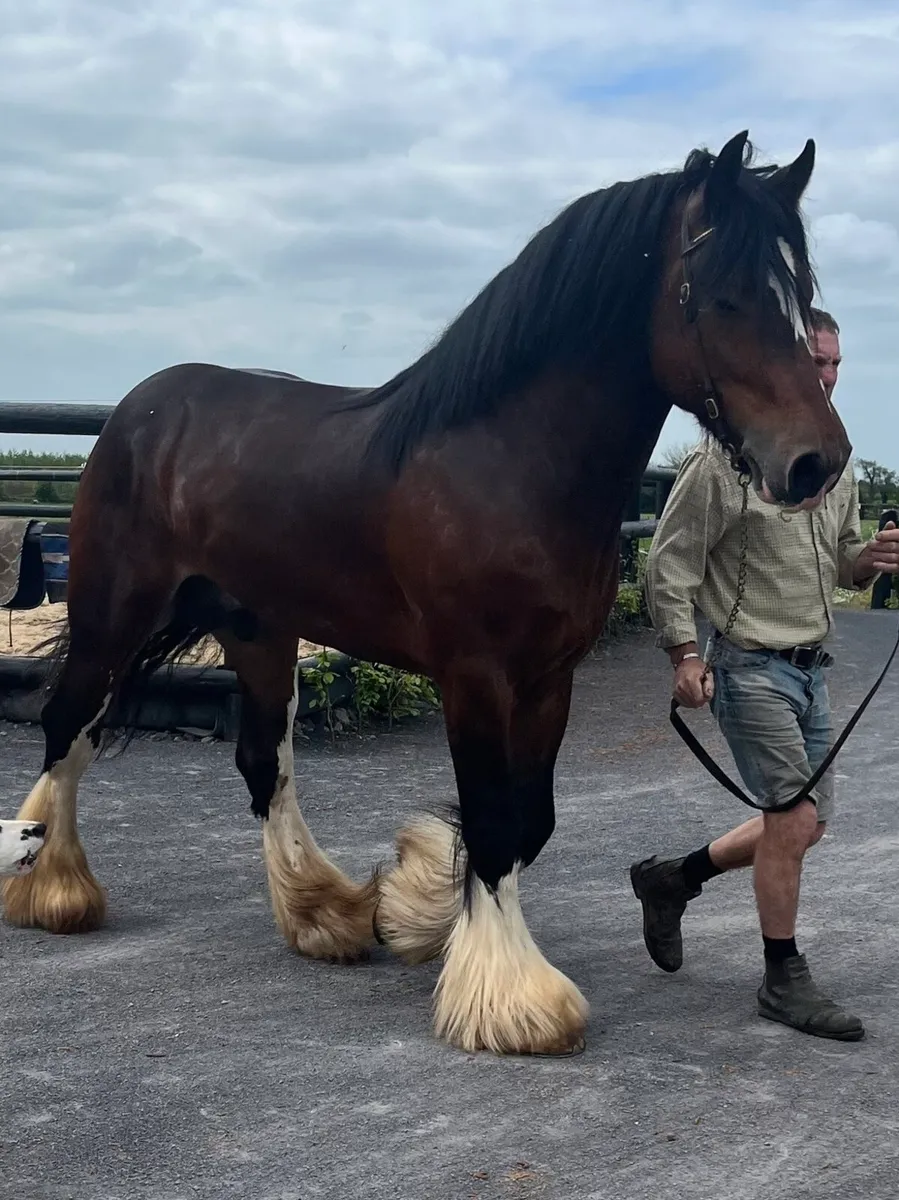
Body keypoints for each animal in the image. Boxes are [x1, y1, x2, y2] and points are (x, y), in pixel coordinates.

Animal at [2, 130, 851, 1057]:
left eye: (800, 298)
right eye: (727, 298)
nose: (816, 461)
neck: (509, 459)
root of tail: (140, 409)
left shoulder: (549, 678)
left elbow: (525, 820)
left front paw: (417, 913)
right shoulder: (473, 675)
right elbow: (490, 819)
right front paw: (511, 999)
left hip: (259, 631)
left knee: (262, 761)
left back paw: (322, 915)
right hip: (112, 612)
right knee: (68, 728)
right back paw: (50, 886)